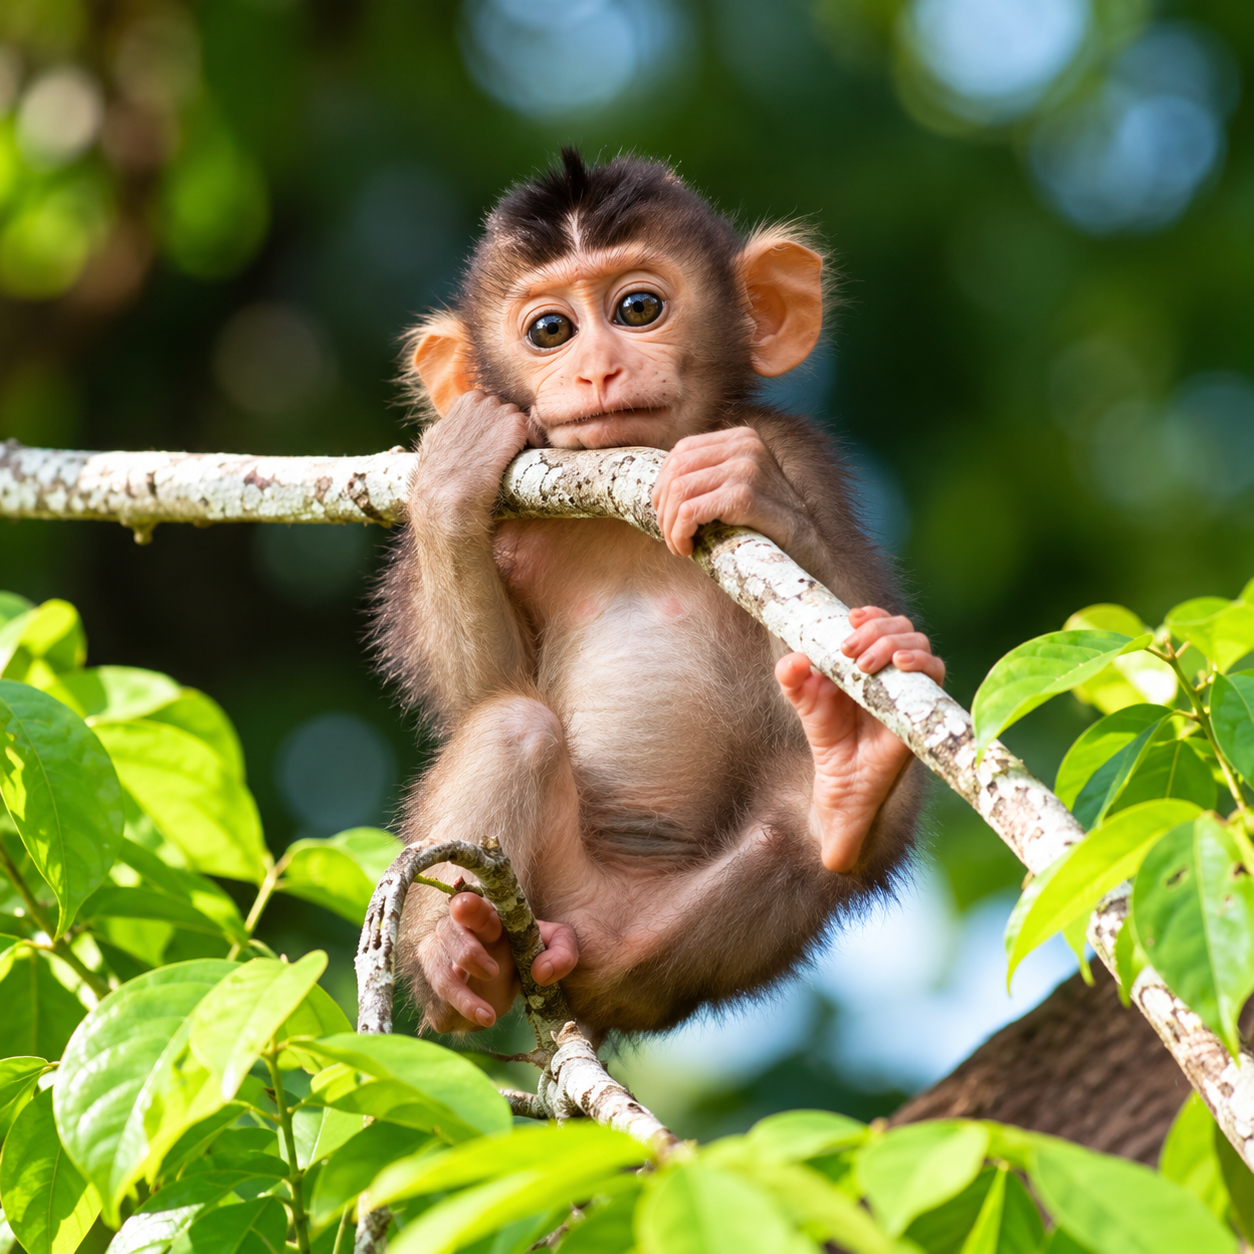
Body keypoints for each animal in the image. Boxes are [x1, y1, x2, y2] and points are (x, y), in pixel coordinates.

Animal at [375, 149, 945, 1042]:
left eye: (638, 308)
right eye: (549, 330)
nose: (598, 368)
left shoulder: (800, 452)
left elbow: (829, 588)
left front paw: (747, 488)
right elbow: (479, 689)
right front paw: (453, 477)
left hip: (661, 947)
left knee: (797, 841)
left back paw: (850, 778)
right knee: (512, 725)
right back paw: (458, 960)